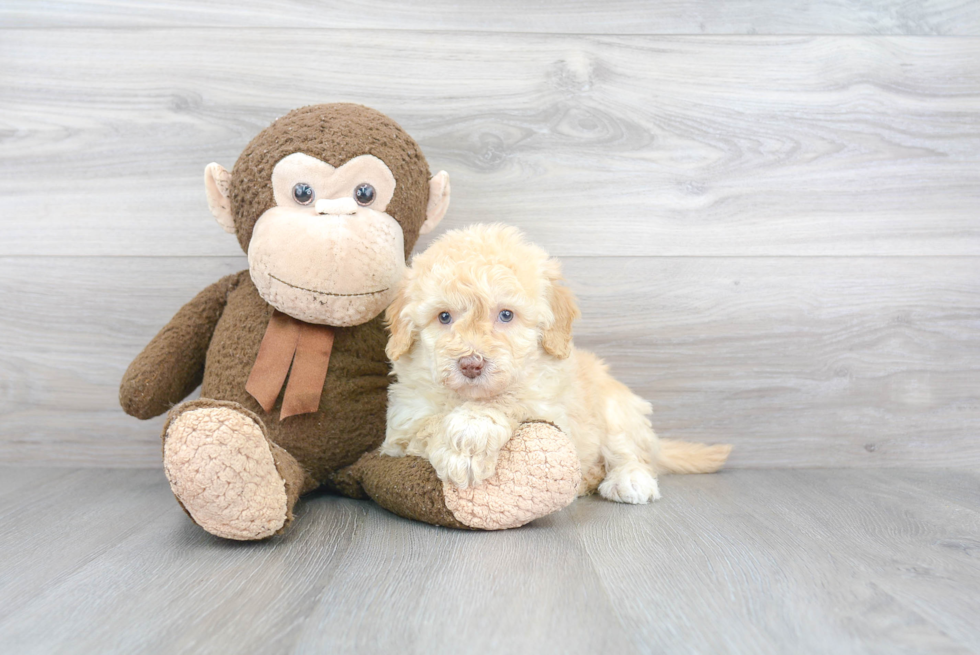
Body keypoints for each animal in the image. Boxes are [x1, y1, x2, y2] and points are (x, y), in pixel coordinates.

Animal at [378, 223, 732, 504]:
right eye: (444, 317)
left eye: (506, 315)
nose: (471, 365)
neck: (468, 396)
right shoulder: (402, 425)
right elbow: (428, 423)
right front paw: (461, 445)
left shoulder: (549, 406)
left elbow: (507, 400)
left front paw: (471, 432)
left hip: (618, 410)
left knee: (630, 453)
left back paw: (628, 479)